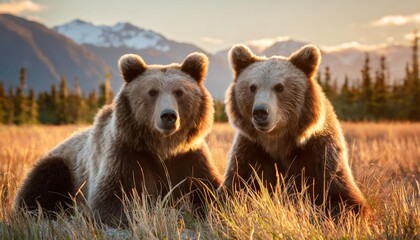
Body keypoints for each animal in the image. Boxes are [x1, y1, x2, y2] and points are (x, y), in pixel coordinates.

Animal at [14, 52, 221, 225]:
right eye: (152, 92)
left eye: (179, 92)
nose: (168, 115)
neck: (162, 147)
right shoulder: (125, 153)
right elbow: (111, 200)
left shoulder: (189, 157)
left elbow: (209, 188)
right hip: (63, 165)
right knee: (42, 182)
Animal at [220, 43, 370, 218]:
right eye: (252, 87)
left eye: (279, 87)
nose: (260, 112)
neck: (277, 142)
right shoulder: (253, 151)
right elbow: (236, 187)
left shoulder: (318, 153)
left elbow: (342, 197)